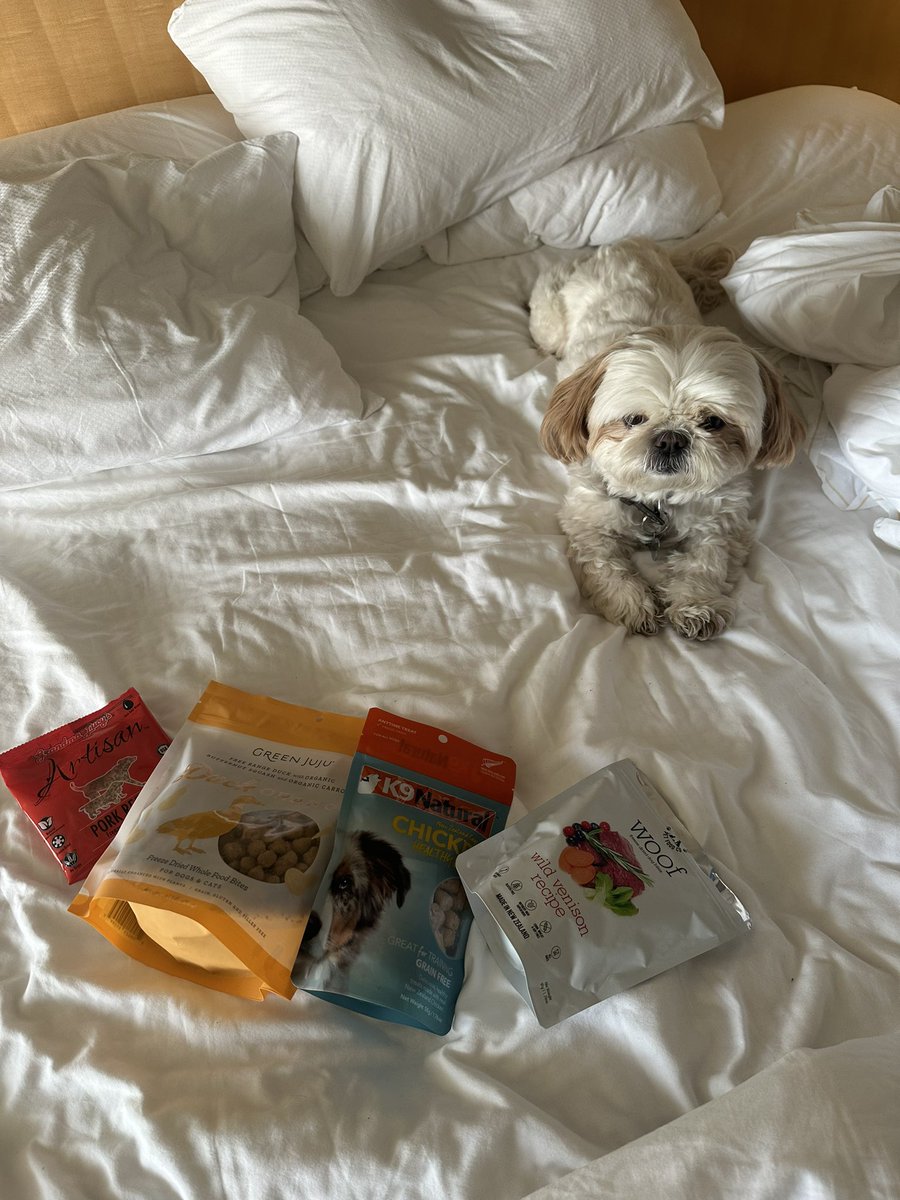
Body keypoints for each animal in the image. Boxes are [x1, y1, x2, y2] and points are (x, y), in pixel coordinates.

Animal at [528, 237, 801, 643]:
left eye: (713, 422)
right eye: (633, 420)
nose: (671, 439)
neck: (658, 499)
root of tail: (630, 243)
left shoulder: (721, 521)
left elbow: (706, 563)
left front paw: (697, 606)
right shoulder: (587, 521)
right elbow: (605, 564)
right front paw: (630, 603)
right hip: (550, 324)